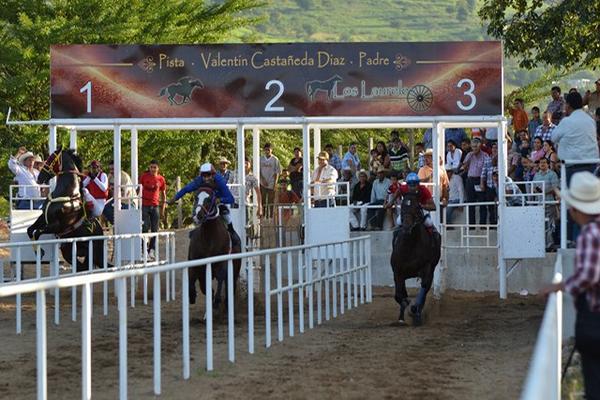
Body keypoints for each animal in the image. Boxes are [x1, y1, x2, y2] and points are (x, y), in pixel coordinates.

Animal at [189, 188, 243, 316]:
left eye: (209, 199)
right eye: (196, 197)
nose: (198, 216)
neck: (208, 238)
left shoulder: (222, 263)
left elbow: (220, 279)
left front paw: (217, 302)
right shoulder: (197, 266)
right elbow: (195, 282)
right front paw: (192, 296)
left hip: (235, 270)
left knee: (229, 286)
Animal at [390, 192, 440, 326]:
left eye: (417, 207)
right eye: (402, 207)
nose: (407, 226)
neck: (410, 247)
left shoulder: (427, 268)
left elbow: (424, 287)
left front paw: (414, 309)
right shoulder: (398, 271)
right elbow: (399, 295)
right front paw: (402, 314)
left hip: (432, 268)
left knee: (425, 288)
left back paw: (416, 311)